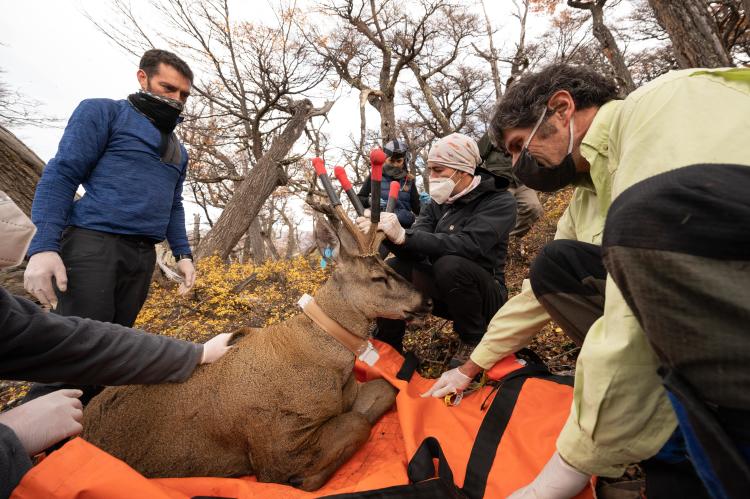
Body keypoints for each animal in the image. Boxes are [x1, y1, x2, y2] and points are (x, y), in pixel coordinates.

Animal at [81, 201, 432, 490]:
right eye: (377, 277)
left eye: (388, 266)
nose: (426, 299)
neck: (328, 362)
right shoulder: (278, 444)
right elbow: (357, 424)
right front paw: (304, 479)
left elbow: (386, 390)